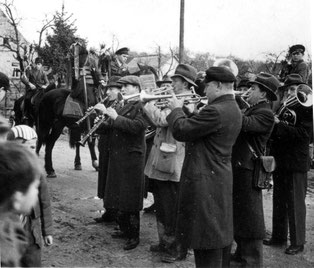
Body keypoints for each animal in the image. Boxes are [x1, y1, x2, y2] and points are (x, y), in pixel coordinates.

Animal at [36, 43, 100, 178]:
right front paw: (95, 163)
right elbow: (90, 143)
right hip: (52, 125)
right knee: (46, 142)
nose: (101, 80)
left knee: (48, 143)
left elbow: (88, 143)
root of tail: (45, 95)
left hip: (57, 125)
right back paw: (48, 168)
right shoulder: (88, 125)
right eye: (93, 64)